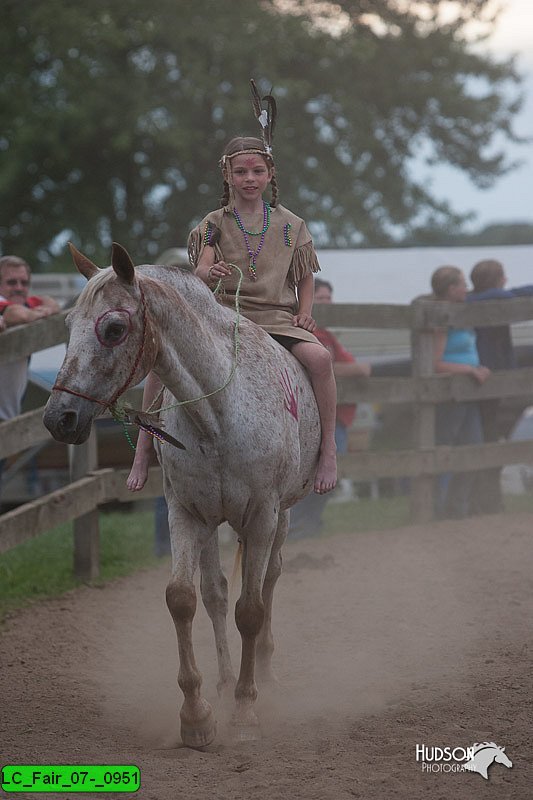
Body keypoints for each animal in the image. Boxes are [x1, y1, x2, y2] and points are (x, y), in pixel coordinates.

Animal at [43, 244, 318, 752]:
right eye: (69, 323)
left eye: (114, 328)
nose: (58, 417)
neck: (218, 415)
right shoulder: (187, 515)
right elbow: (183, 599)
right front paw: (197, 716)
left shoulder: (262, 517)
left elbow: (251, 610)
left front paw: (246, 712)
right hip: (214, 524)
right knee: (216, 594)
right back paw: (225, 682)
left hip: (281, 519)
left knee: (269, 581)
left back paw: (263, 674)